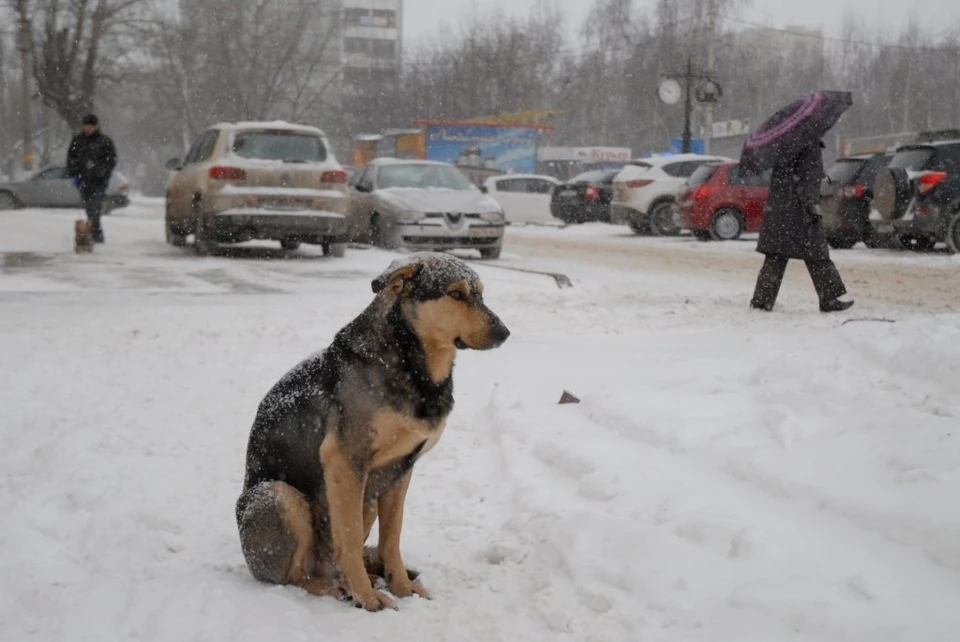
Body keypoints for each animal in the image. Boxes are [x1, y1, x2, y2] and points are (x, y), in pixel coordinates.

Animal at [235, 251, 510, 608]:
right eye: (455, 294)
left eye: (480, 294)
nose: (504, 332)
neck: (411, 364)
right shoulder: (345, 461)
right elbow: (349, 540)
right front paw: (368, 599)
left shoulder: (400, 469)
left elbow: (391, 540)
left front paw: (402, 587)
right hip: (278, 495)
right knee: (296, 576)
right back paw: (338, 588)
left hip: (365, 498)